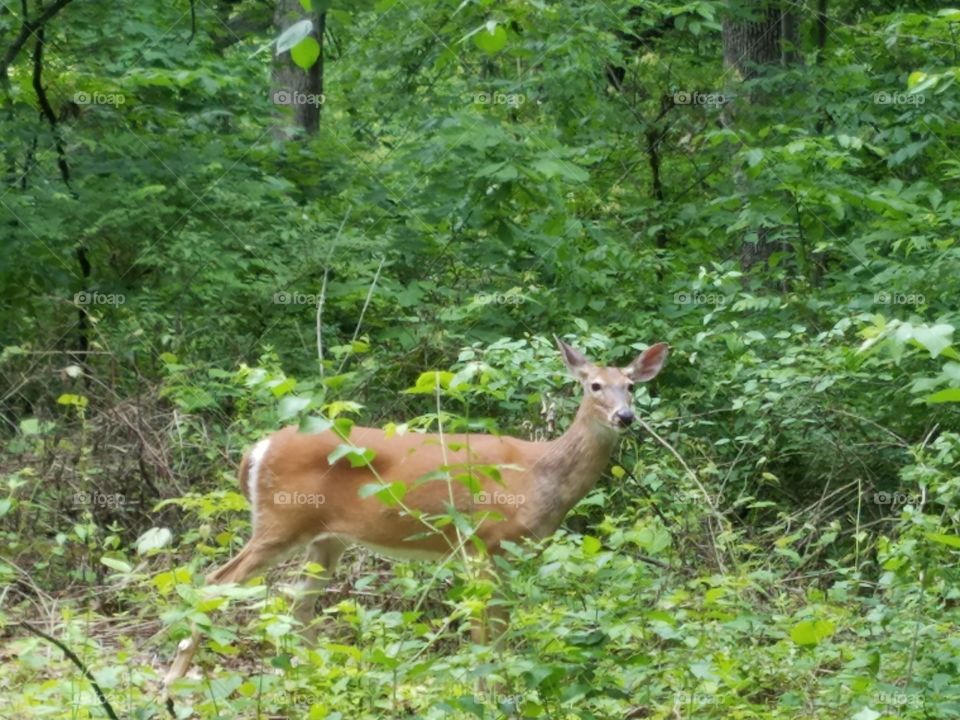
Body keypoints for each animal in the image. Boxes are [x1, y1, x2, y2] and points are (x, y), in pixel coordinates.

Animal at [163, 337, 668, 691]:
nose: (625, 417)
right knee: (215, 581)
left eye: (631, 386)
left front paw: (502, 682)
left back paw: (312, 677)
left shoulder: (510, 552)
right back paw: (173, 681)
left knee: (299, 601)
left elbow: (501, 625)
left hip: (325, 538)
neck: (536, 476)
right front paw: (486, 690)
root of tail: (257, 449)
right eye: (594, 385)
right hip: (279, 521)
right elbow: (483, 627)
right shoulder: (480, 542)